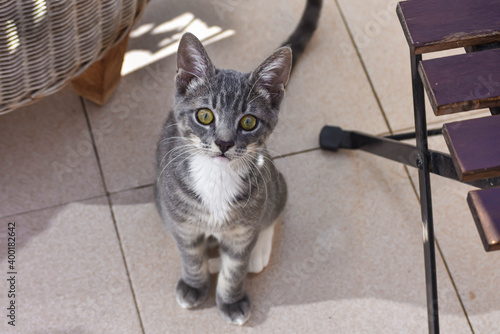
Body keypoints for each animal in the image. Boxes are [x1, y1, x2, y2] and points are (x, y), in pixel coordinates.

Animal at [154, 0, 322, 324]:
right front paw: (195, 284)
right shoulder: (182, 221)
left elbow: (236, 267)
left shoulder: (244, 227)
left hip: (273, 181)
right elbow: (189, 254)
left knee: (274, 209)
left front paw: (231, 299)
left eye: (248, 121)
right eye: (204, 115)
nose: (224, 142)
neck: (216, 177)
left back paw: (258, 252)